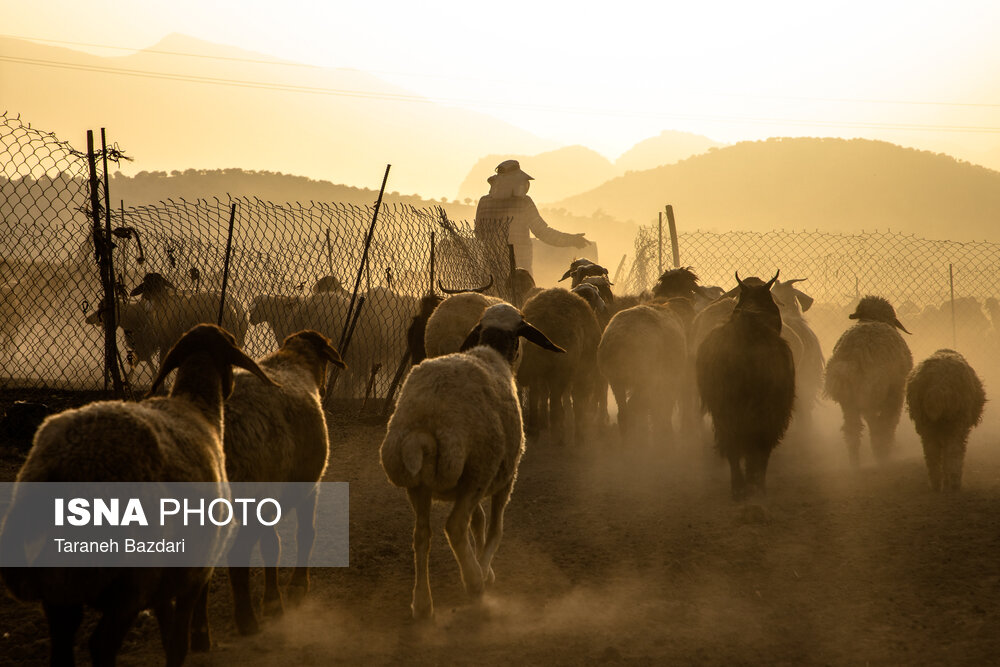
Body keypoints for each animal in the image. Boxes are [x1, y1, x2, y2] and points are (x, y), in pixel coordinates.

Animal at [0, 326, 278, 664]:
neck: (197, 405)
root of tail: (63, 465)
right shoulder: (194, 572)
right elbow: (178, 642)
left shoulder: (167, 582)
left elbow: (168, 634)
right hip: (131, 579)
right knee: (102, 644)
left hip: (61, 584)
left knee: (63, 643)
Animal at [223, 332, 348, 636]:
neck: (295, 361)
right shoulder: (308, 485)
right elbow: (304, 534)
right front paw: (294, 588)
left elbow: (272, 546)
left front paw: (274, 598)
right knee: (238, 554)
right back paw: (247, 621)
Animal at [378, 306, 564, 620]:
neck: (492, 350)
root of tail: (427, 420)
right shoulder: (504, 476)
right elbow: (494, 528)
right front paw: (485, 571)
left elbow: (479, 521)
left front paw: (481, 564)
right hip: (476, 468)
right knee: (454, 526)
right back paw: (474, 582)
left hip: (419, 484)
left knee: (422, 534)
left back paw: (422, 603)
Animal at [904, 350, 980, 490]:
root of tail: (938, 386)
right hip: (956, 421)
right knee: (954, 451)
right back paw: (954, 483)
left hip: (927, 423)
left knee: (931, 452)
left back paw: (936, 484)